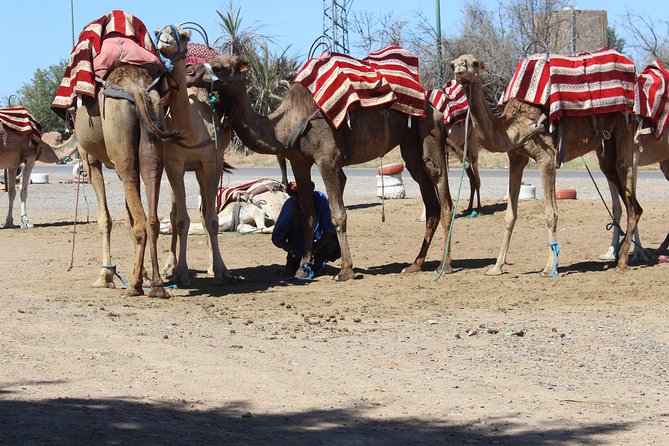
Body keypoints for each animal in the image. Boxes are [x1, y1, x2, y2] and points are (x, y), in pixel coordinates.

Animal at [186, 54, 454, 281]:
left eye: (219, 67)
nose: (188, 70)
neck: (284, 126)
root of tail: (434, 106)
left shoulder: (328, 159)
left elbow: (338, 214)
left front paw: (346, 271)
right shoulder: (299, 161)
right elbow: (309, 215)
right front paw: (303, 267)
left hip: (429, 132)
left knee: (442, 191)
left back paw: (445, 266)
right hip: (410, 145)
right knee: (428, 198)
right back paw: (415, 264)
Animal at [451, 54, 641, 276]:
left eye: (473, 63)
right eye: (453, 64)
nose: (460, 71)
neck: (513, 127)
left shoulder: (547, 158)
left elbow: (551, 214)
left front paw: (550, 268)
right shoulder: (516, 158)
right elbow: (510, 215)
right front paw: (497, 266)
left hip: (624, 127)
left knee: (627, 179)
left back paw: (623, 261)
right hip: (606, 150)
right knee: (626, 196)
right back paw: (620, 257)